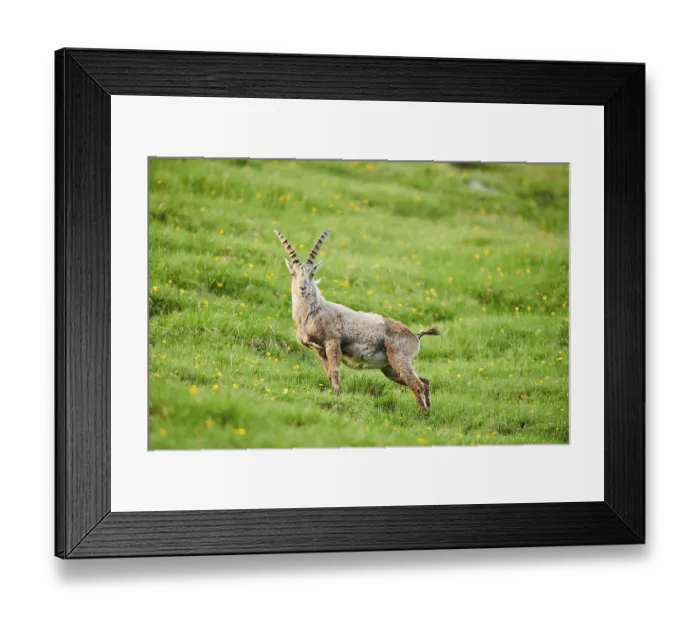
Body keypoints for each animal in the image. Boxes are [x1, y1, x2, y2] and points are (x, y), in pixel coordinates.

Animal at [274, 228, 440, 411]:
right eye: (293, 273)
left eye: (312, 274)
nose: (302, 288)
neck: (313, 314)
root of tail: (415, 335)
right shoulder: (319, 351)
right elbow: (328, 373)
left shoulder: (333, 342)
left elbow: (334, 371)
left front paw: (337, 395)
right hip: (390, 368)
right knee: (424, 382)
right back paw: (428, 410)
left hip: (400, 360)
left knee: (417, 385)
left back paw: (422, 413)